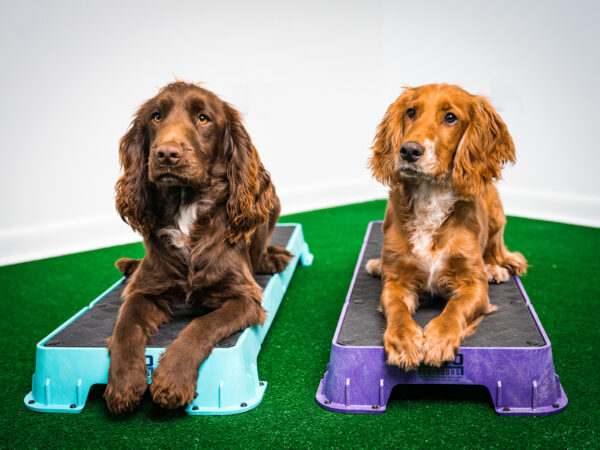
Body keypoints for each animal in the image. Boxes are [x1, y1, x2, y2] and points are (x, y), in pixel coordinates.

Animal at [106, 82, 292, 414]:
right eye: (156, 116)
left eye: (203, 118)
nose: (167, 153)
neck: (185, 206)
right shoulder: (145, 290)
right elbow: (125, 327)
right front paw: (123, 383)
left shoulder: (244, 297)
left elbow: (201, 326)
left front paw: (172, 378)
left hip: (272, 202)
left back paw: (273, 258)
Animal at [366, 83, 524, 370]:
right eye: (411, 112)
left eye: (451, 117)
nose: (408, 150)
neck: (431, 196)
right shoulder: (397, 281)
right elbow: (396, 308)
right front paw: (403, 339)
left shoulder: (474, 286)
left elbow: (455, 309)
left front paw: (439, 338)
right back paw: (377, 264)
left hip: (496, 213)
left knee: (496, 249)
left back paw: (495, 267)